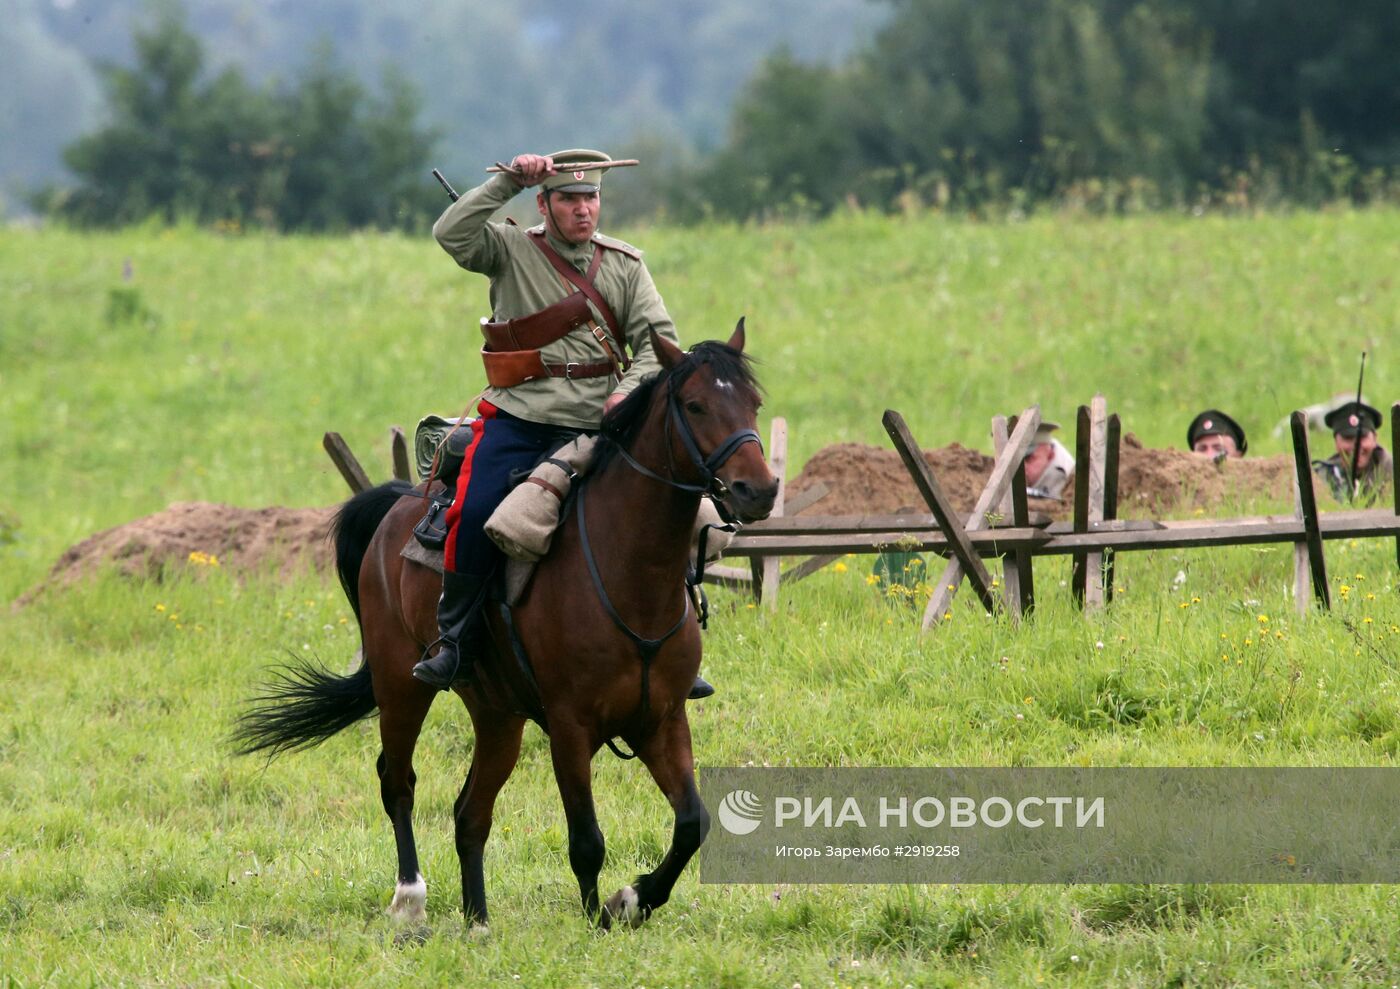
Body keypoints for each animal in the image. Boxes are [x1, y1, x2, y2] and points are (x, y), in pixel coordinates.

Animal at [231, 322, 778, 924]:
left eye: (753, 402)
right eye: (696, 404)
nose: (759, 490)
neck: (629, 577)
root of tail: (398, 504)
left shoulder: (662, 719)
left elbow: (692, 823)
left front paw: (634, 900)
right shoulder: (569, 726)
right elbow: (587, 841)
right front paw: (600, 916)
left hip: (498, 717)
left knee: (470, 812)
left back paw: (479, 921)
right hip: (401, 686)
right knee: (397, 782)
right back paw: (410, 899)